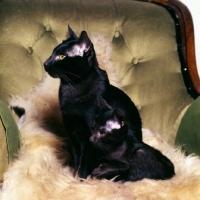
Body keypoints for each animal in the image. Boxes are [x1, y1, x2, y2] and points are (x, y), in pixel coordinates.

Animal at [44, 26, 142, 178]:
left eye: (61, 57)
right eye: (52, 52)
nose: (45, 63)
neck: (73, 87)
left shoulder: (89, 136)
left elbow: (84, 158)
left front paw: (81, 178)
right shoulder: (72, 131)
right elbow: (77, 156)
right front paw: (74, 175)